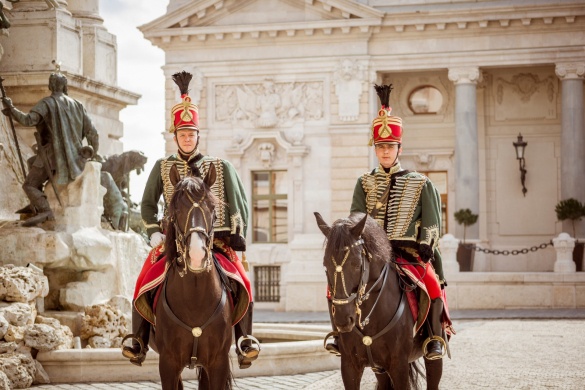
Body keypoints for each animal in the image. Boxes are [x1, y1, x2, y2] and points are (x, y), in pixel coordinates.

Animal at [153, 163, 233, 388]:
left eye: (213, 209)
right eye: (176, 209)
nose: (197, 255)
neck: (195, 298)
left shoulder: (218, 362)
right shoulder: (168, 363)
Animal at [312, 213, 440, 390]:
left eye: (357, 264)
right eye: (325, 265)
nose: (343, 320)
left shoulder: (399, 365)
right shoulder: (349, 365)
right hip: (379, 368)